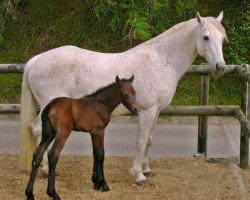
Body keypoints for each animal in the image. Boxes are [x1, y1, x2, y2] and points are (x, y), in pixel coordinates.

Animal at [19, 12, 228, 186]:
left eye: (222, 39)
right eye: (206, 37)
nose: (220, 67)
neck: (161, 60)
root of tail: (37, 60)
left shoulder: (156, 111)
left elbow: (150, 140)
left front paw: (146, 169)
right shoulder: (146, 111)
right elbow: (141, 141)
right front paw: (139, 175)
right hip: (49, 106)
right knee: (37, 129)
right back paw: (45, 169)